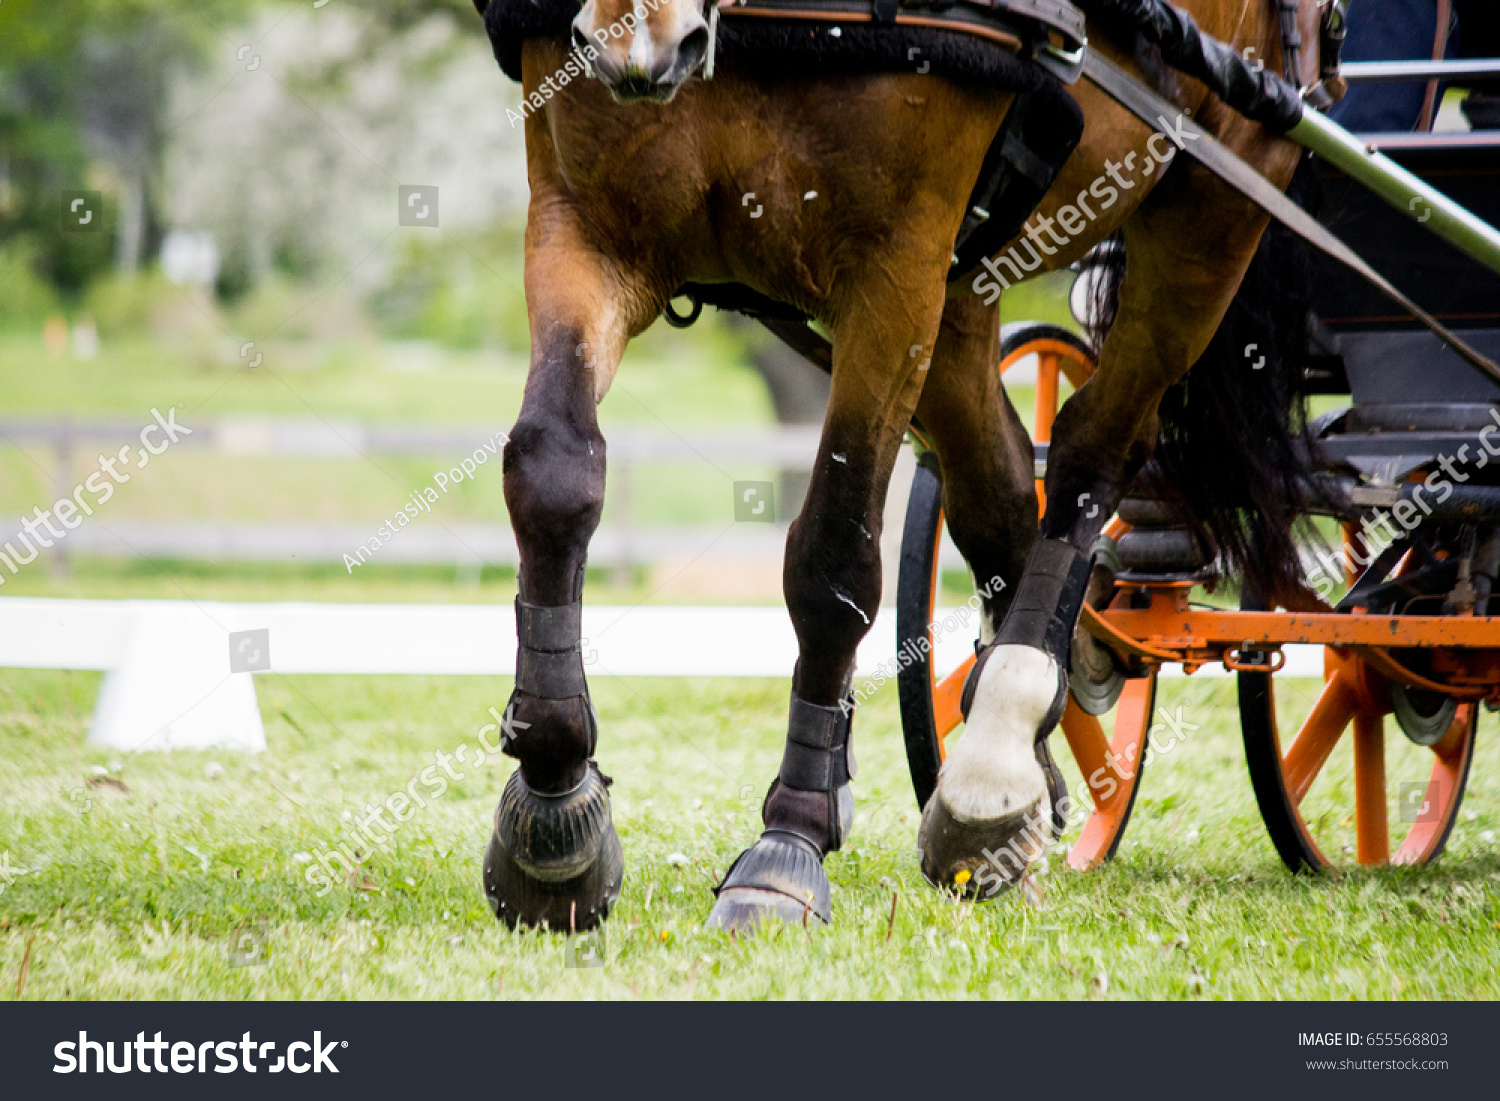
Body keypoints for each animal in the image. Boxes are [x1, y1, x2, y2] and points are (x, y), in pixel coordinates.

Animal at [474, 0, 1320, 936]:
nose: (637, 40)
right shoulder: (581, 225)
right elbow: (553, 470)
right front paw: (554, 806)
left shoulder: (895, 270)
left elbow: (833, 558)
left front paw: (791, 840)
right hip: (972, 287)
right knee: (998, 484)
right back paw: (1035, 735)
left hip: (1214, 208)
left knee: (1094, 447)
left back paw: (997, 756)